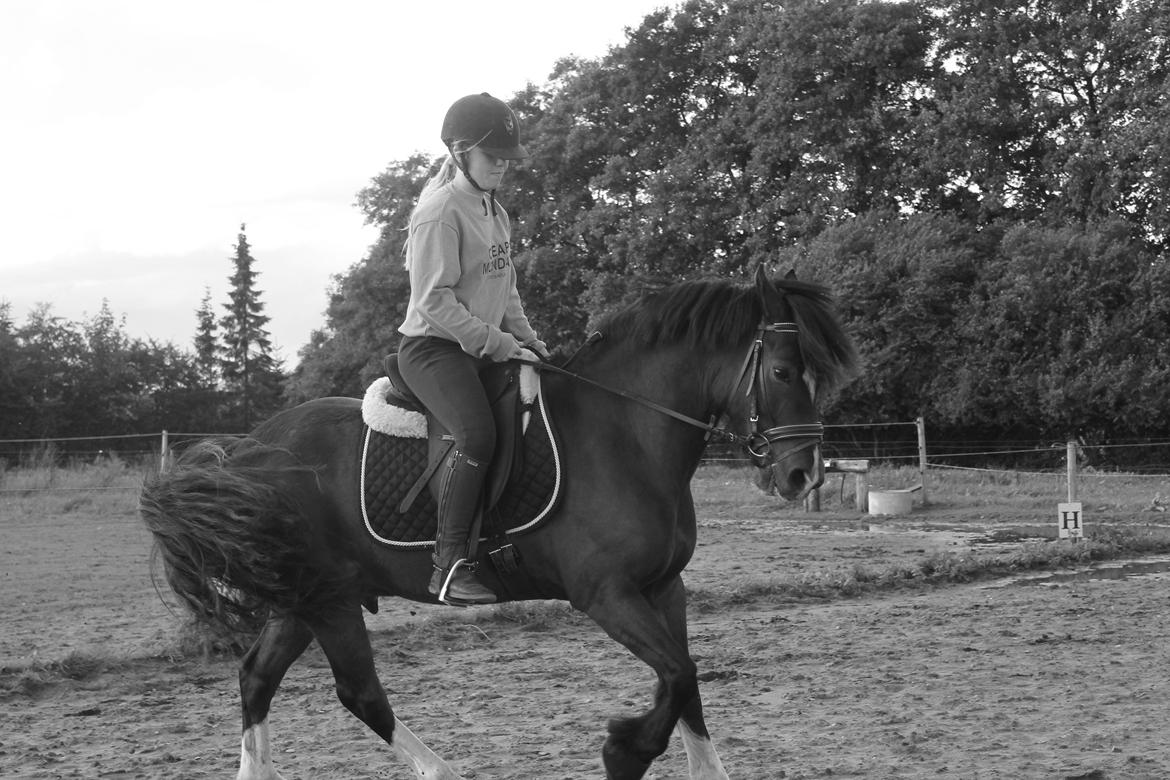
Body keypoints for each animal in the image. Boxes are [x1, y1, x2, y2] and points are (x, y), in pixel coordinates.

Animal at [140, 266, 857, 780]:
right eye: (783, 370)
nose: (803, 475)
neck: (625, 431)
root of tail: (253, 446)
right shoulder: (606, 594)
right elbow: (678, 677)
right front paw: (622, 752)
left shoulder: (665, 588)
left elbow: (689, 683)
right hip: (328, 597)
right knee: (358, 692)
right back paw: (443, 772)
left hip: (304, 597)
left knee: (257, 678)